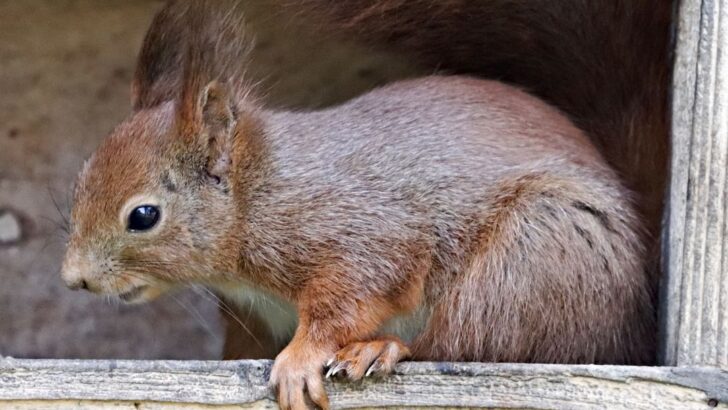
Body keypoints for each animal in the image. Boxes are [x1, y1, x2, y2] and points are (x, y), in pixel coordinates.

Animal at [61, 1, 656, 409]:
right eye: (80, 181)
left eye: (143, 217)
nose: (74, 279)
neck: (259, 193)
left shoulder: (361, 228)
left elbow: (353, 294)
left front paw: (300, 360)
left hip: (534, 259)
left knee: (462, 342)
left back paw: (383, 349)